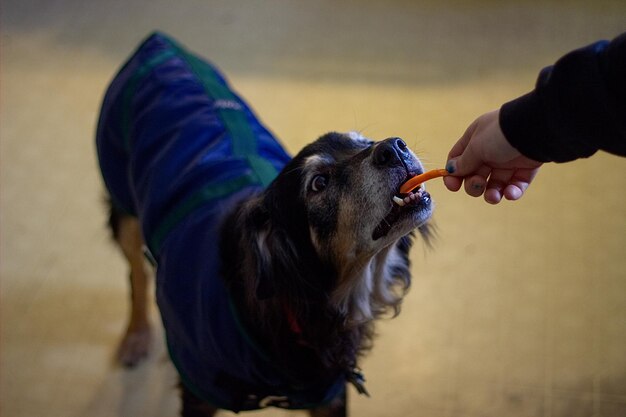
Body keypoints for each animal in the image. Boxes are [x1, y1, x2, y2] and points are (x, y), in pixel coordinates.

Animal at [97, 32, 432, 416]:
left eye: (363, 142)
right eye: (318, 183)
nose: (394, 146)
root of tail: (158, 41)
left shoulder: (328, 393)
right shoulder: (201, 390)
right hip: (121, 200)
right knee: (136, 272)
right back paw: (136, 336)